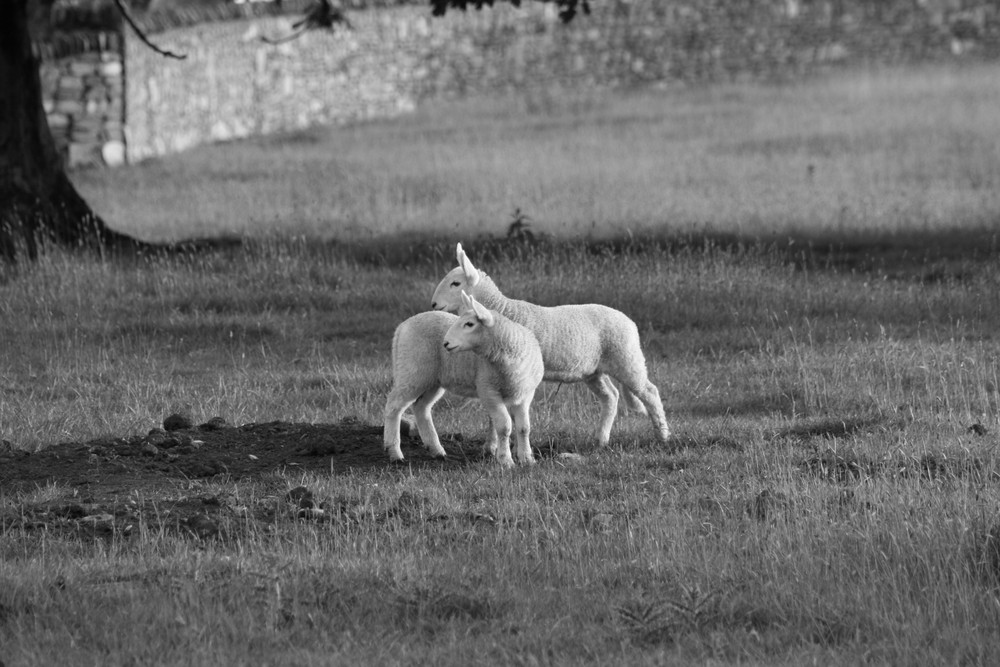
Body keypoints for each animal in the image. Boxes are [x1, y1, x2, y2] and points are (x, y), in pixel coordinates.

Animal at [382, 292, 544, 470]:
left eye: (469, 324)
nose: (445, 343)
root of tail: (401, 327)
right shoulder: (488, 391)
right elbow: (504, 426)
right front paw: (506, 460)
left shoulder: (525, 394)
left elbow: (524, 428)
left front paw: (527, 459)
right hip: (412, 372)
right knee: (393, 406)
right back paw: (395, 452)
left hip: (432, 379)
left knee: (421, 407)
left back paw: (436, 450)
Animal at [432, 243, 672, 446]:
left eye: (455, 283)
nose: (433, 304)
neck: (501, 311)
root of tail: (629, 321)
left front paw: (498, 447)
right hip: (593, 370)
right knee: (611, 396)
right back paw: (602, 439)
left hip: (627, 357)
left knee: (650, 392)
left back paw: (663, 435)